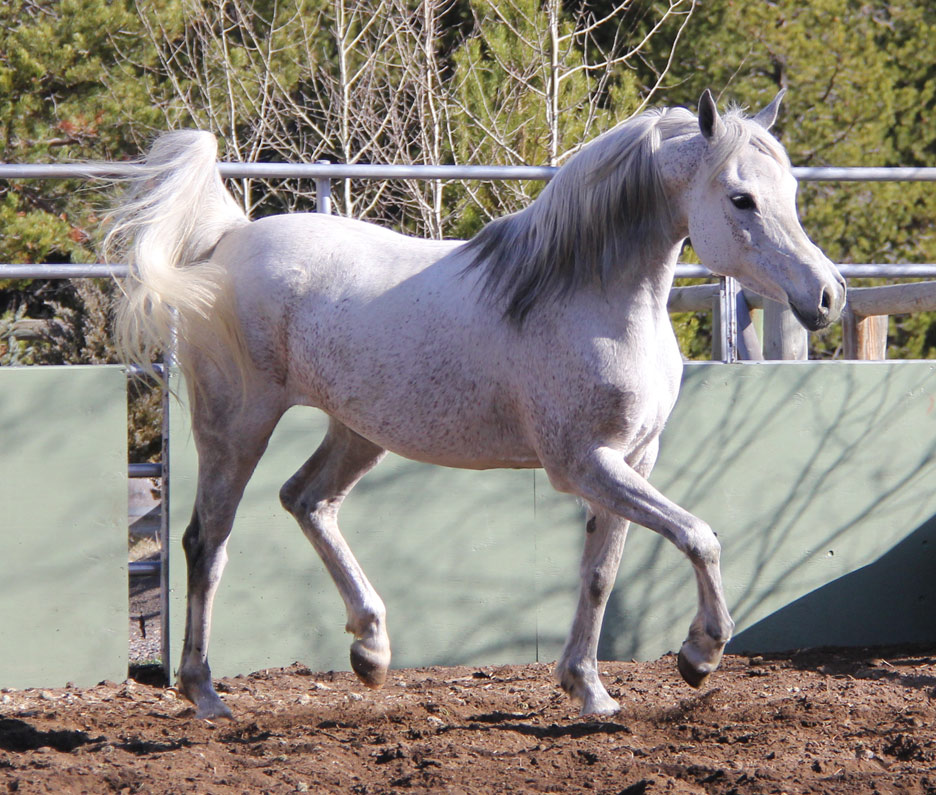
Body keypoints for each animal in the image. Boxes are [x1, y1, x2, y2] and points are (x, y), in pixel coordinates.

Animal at [106, 89, 845, 720]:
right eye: (742, 198)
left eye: (791, 191)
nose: (828, 296)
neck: (586, 295)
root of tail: (228, 242)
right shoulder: (584, 464)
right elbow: (698, 535)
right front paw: (700, 655)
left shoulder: (634, 458)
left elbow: (602, 572)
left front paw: (589, 690)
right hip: (236, 427)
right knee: (207, 542)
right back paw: (205, 692)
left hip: (359, 431)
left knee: (307, 500)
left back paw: (371, 649)